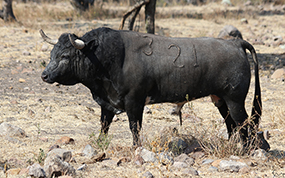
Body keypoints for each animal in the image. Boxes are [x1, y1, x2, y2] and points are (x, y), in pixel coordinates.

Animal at [39, 27, 268, 151]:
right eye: (52, 54)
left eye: (64, 56)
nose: (44, 75)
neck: (109, 58)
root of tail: (236, 43)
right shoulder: (108, 103)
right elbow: (104, 126)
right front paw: (98, 145)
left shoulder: (134, 102)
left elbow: (134, 127)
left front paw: (136, 148)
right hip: (220, 99)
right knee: (231, 124)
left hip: (235, 100)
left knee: (243, 124)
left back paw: (245, 151)